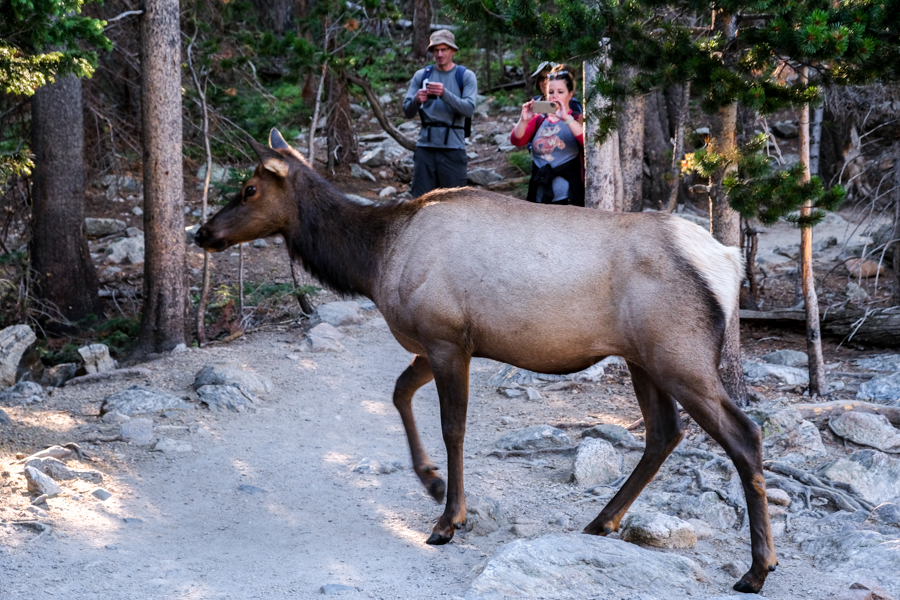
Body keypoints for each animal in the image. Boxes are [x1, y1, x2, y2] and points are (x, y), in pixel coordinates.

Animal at [197, 129, 780, 592]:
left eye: (249, 189)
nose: (203, 232)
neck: (376, 259)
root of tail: (730, 262)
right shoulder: (440, 342)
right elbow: (398, 392)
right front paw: (431, 481)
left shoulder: (446, 337)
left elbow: (453, 426)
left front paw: (447, 519)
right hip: (644, 358)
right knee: (664, 432)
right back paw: (601, 522)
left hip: (680, 354)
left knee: (743, 434)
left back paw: (756, 569)